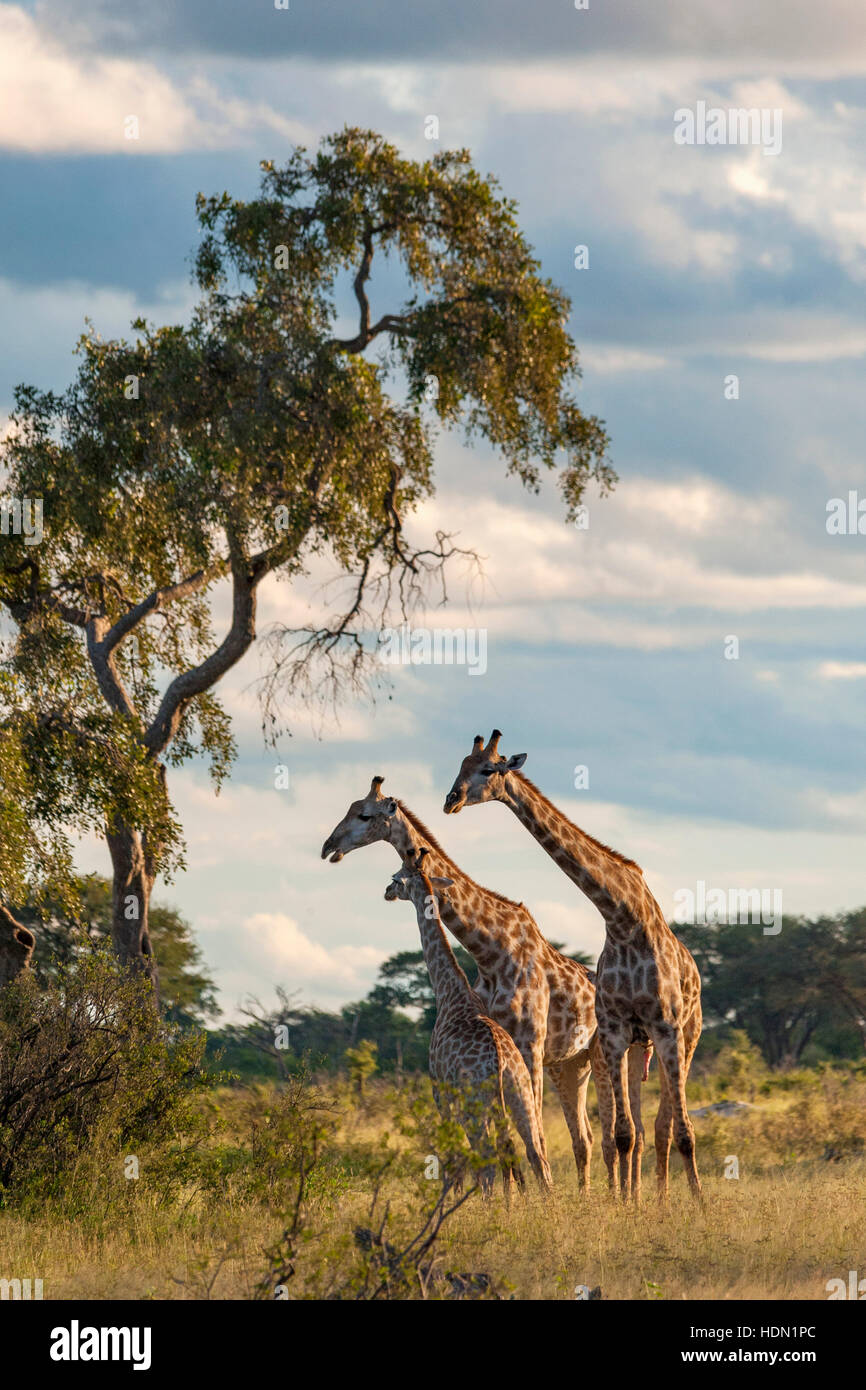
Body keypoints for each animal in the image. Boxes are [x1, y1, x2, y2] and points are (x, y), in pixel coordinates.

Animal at [385, 848, 553, 1196]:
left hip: (475, 1104)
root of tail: (500, 1063)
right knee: (534, 1153)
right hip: (520, 1094)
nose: (387, 891)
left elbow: (453, 1155)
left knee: (488, 1159)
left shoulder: (439, 1088)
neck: (449, 991)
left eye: (396, 877)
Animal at [443, 731, 702, 1204]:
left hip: (685, 1035)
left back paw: (671, 1197)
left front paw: (696, 1203)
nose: (451, 800)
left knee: (672, 1124)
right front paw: (626, 1205)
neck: (623, 919)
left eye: (488, 769)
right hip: (637, 1047)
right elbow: (623, 1133)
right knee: (645, 1127)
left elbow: (678, 1130)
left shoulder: (665, 1025)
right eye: (460, 766)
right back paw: (650, 1197)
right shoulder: (616, 1031)